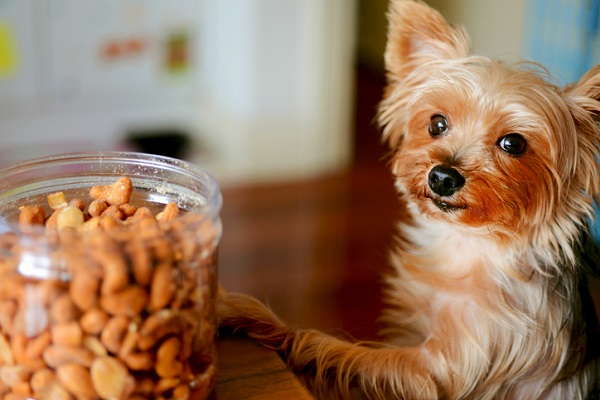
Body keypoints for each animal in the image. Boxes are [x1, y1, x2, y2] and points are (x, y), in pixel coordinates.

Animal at [219, 1, 600, 398]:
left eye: (514, 143)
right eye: (437, 124)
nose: (443, 177)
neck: (469, 245)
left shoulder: (442, 367)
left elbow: (329, 346)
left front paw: (250, 314)